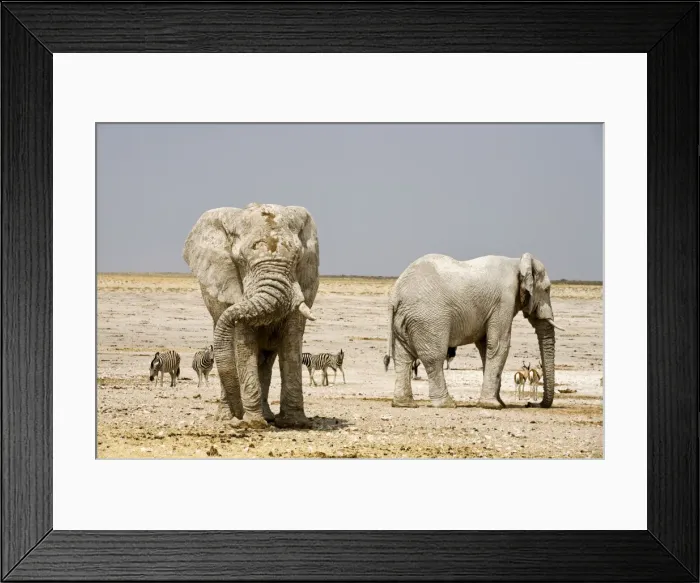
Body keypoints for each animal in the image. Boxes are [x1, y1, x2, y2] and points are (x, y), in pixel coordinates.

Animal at [182, 203, 320, 429]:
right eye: (241, 260)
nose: (238, 417)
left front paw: (295, 423)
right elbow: (243, 343)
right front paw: (253, 423)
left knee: (264, 360)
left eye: (298, 258)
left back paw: (264, 416)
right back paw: (227, 417)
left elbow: (292, 340)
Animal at [384, 253, 563, 410]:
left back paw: (404, 404)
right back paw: (447, 404)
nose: (530, 404)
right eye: (547, 290)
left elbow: (486, 347)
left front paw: (499, 403)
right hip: (428, 319)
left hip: (404, 320)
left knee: (403, 358)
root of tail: (395, 295)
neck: (517, 262)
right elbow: (499, 346)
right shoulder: (504, 301)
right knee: (434, 358)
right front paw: (493, 405)